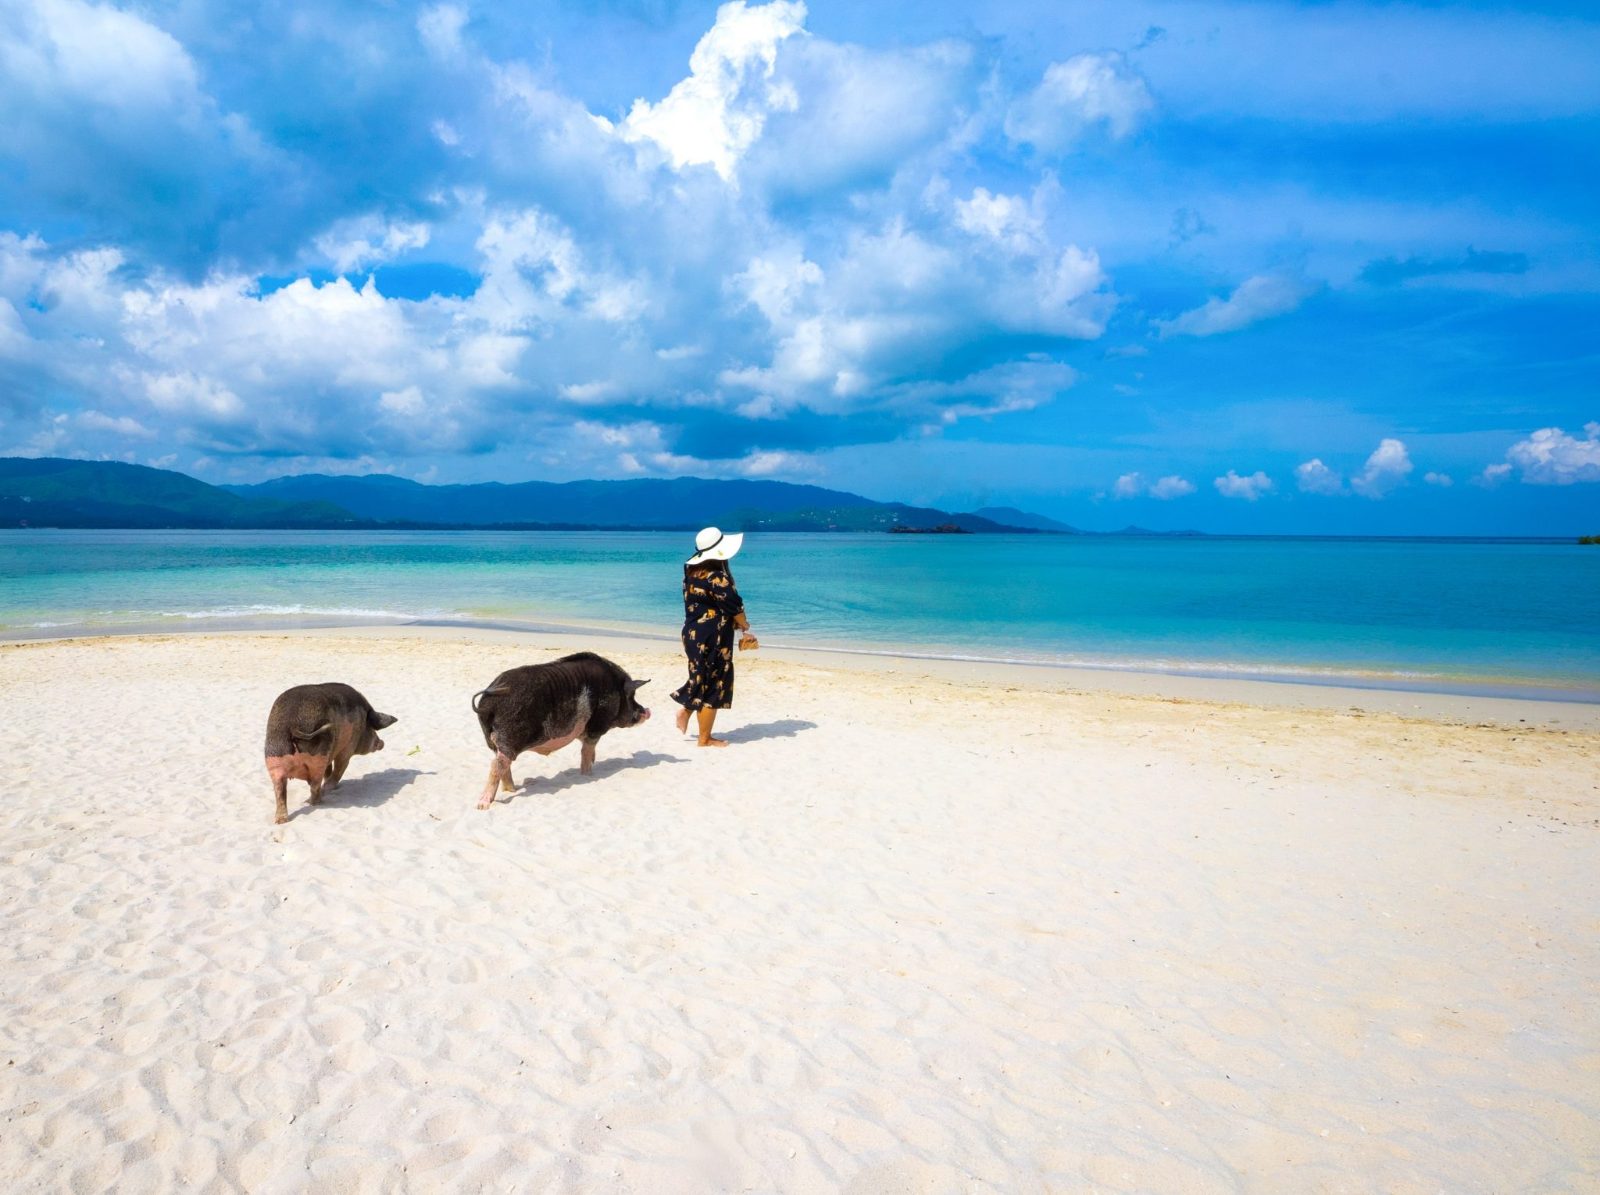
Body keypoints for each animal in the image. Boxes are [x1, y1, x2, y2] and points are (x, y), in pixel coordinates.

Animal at [264, 683, 397, 824]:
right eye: (372, 728)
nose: (382, 742)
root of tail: (292, 726)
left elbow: (329, 770)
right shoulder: (347, 749)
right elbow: (339, 768)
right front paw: (331, 786)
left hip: (274, 759)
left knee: (280, 790)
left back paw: (281, 820)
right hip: (318, 757)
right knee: (315, 785)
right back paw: (315, 800)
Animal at [472, 651, 651, 809]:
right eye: (631, 696)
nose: (647, 711)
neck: (616, 689)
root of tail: (488, 700)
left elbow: (590, 752)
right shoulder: (596, 727)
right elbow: (586, 752)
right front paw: (588, 775)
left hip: (494, 741)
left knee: (502, 764)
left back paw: (513, 789)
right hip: (509, 738)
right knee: (497, 765)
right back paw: (483, 805)